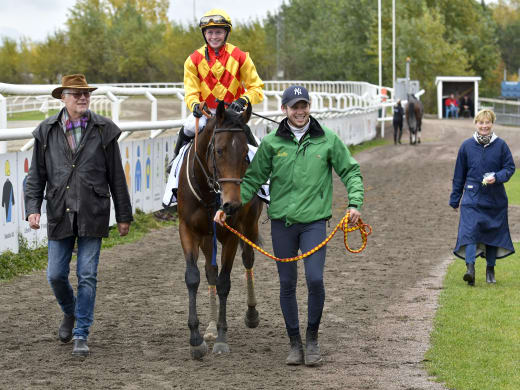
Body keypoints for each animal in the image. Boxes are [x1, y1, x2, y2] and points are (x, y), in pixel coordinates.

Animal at [177, 100, 264, 360]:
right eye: (218, 151)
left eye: (245, 154)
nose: (232, 204)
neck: (209, 193)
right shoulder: (188, 230)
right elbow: (193, 277)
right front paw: (196, 338)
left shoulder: (231, 233)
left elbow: (225, 282)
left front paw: (222, 338)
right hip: (207, 237)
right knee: (210, 271)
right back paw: (210, 327)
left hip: (250, 224)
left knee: (248, 259)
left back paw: (251, 314)